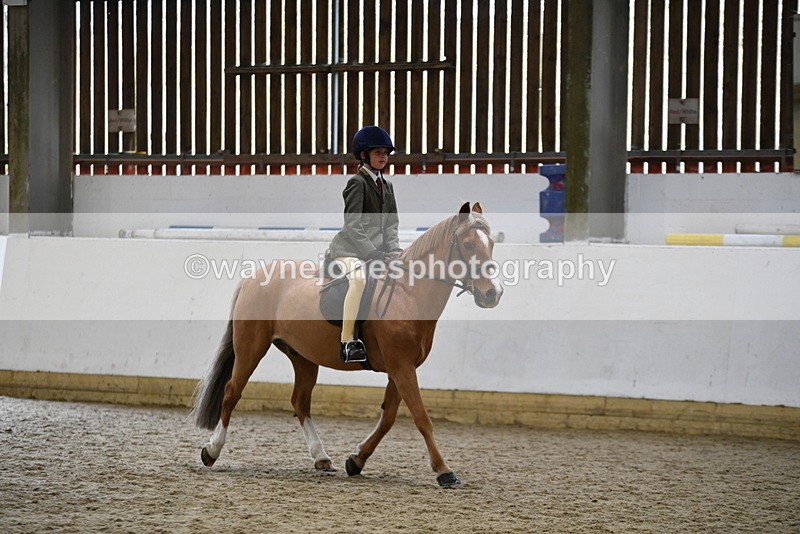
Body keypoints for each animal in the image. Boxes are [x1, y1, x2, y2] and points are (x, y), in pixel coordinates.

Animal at [191, 202, 503, 487]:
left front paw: (357, 460)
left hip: (303, 356)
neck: (408, 295)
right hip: (250, 348)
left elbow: (388, 418)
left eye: (491, 245)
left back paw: (321, 458)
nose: (493, 293)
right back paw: (212, 450)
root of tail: (252, 278)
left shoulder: (400, 368)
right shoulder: (402, 367)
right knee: (232, 392)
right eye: (467, 244)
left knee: (300, 402)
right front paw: (444, 470)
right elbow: (421, 417)